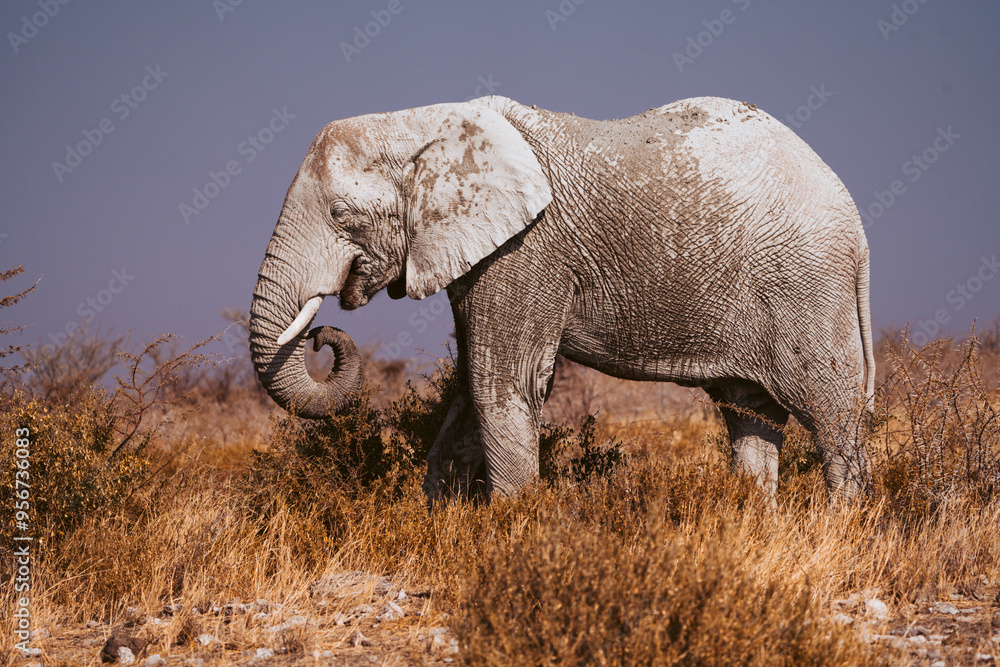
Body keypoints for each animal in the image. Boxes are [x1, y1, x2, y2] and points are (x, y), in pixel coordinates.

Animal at [249, 95, 875, 501]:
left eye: (341, 215)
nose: (321, 336)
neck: (423, 122)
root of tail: (857, 225)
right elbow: (469, 388)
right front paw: (443, 521)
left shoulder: (526, 250)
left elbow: (501, 383)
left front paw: (512, 528)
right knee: (750, 414)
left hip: (806, 284)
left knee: (830, 412)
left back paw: (842, 527)